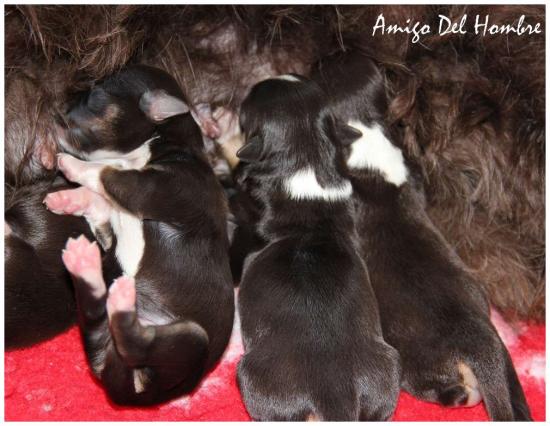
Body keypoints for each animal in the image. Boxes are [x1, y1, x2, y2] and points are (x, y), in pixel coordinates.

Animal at [43, 65, 234, 405]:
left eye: (96, 96)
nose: (57, 113)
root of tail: (131, 392)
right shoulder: (116, 222)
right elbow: (102, 201)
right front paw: (68, 198)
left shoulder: (154, 189)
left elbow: (108, 172)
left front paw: (71, 166)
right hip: (104, 340)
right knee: (96, 318)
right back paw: (86, 266)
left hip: (190, 341)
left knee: (137, 345)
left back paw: (119, 300)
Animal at [312, 50, 532, 421]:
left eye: (317, 72)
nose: (327, 54)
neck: (365, 129)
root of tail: (480, 344)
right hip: (500, 357)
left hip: (417, 364)